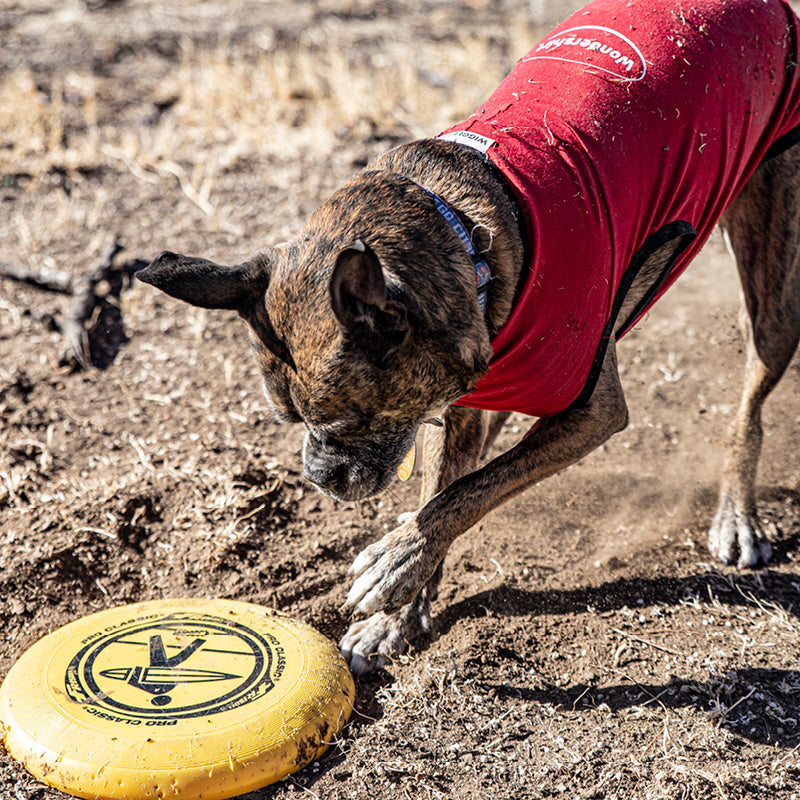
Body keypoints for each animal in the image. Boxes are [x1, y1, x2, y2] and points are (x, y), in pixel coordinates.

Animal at [141, 0, 800, 676]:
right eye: (289, 419)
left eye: (351, 421)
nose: (320, 477)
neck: (468, 232)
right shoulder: (448, 408)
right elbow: (447, 487)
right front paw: (398, 616)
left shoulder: (590, 412)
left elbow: (467, 493)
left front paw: (399, 558)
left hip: (773, 292)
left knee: (749, 401)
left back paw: (737, 515)